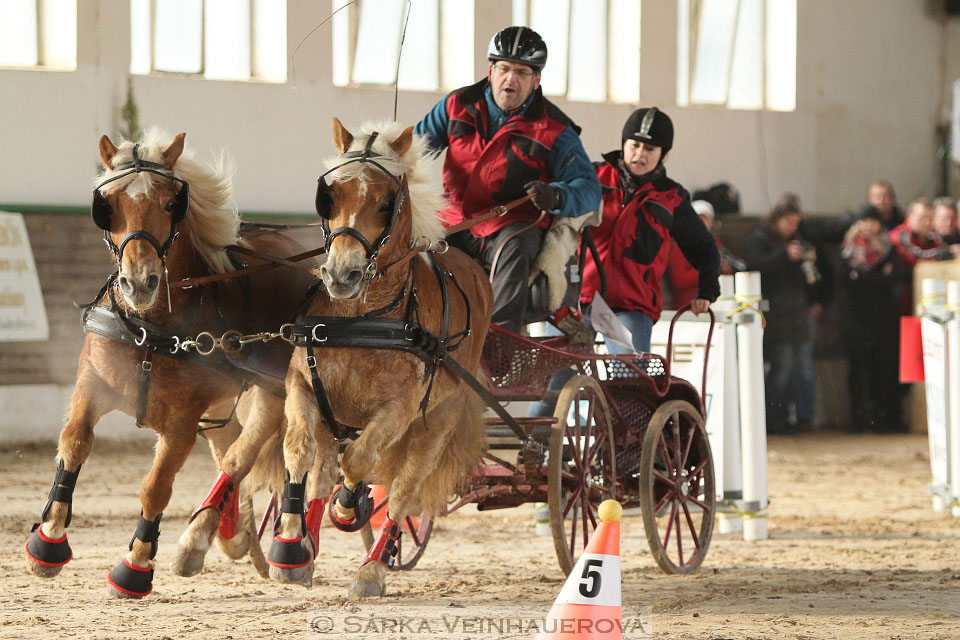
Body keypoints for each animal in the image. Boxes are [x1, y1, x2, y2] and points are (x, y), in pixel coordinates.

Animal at [23, 127, 318, 596]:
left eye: (169, 204)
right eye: (109, 205)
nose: (139, 282)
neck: (152, 327)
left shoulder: (182, 421)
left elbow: (155, 488)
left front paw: (136, 564)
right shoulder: (92, 385)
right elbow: (73, 444)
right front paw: (48, 540)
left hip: (274, 390)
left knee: (243, 454)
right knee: (228, 446)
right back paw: (231, 533)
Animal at [268, 121, 496, 600]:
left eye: (387, 202)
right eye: (330, 194)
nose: (342, 274)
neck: (362, 319)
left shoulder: (400, 410)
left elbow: (360, 463)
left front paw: (349, 507)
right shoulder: (303, 385)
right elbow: (299, 452)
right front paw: (289, 547)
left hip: (437, 422)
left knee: (404, 490)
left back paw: (372, 566)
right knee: (323, 470)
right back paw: (308, 545)